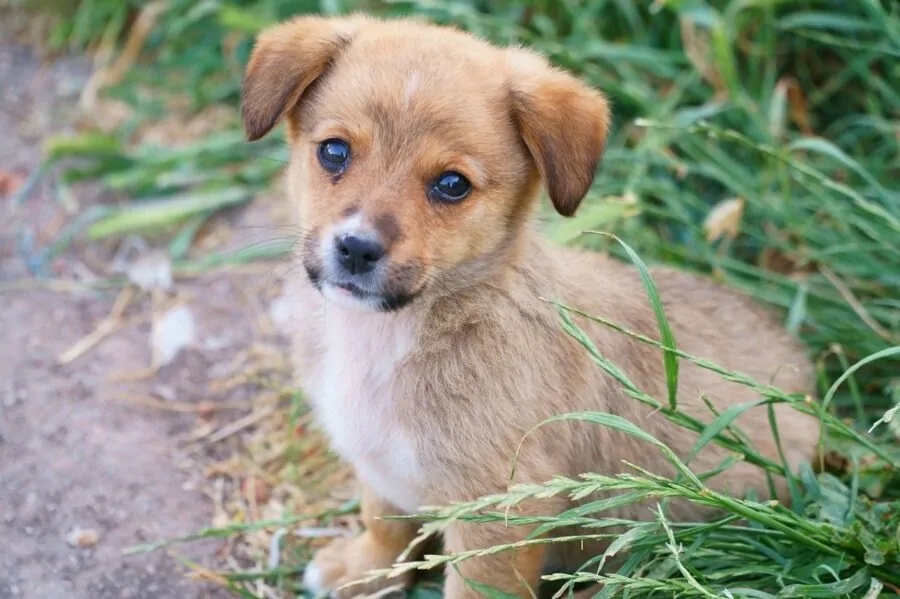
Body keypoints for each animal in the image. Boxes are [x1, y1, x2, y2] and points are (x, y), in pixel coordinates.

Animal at [241, 12, 824, 599]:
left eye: (452, 185)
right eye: (334, 151)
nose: (357, 248)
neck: (391, 333)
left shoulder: (499, 509)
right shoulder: (380, 465)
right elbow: (384, 518)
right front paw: (365, 568)